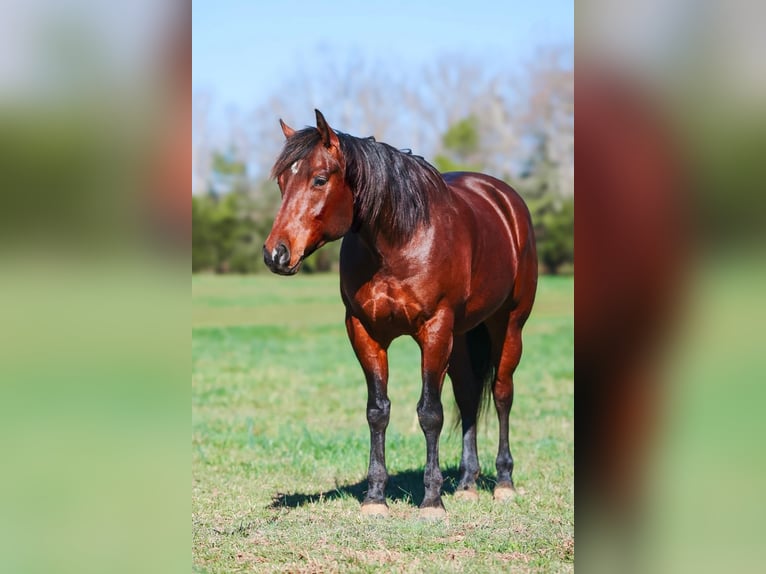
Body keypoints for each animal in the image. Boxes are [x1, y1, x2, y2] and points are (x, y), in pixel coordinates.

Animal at [263, 110, 537, 518]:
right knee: (469, 396)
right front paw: (375, 497)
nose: (275, 254)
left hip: (508, 325)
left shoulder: (435, 329)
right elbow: (378, 410)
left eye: (319, 179)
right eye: (282, 181)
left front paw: (431, 501)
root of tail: (505, 200)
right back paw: (467, 484)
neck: (400, 240)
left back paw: (504, 482)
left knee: (502, 394)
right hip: (459, 338)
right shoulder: (364, 330)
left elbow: (430, 413)